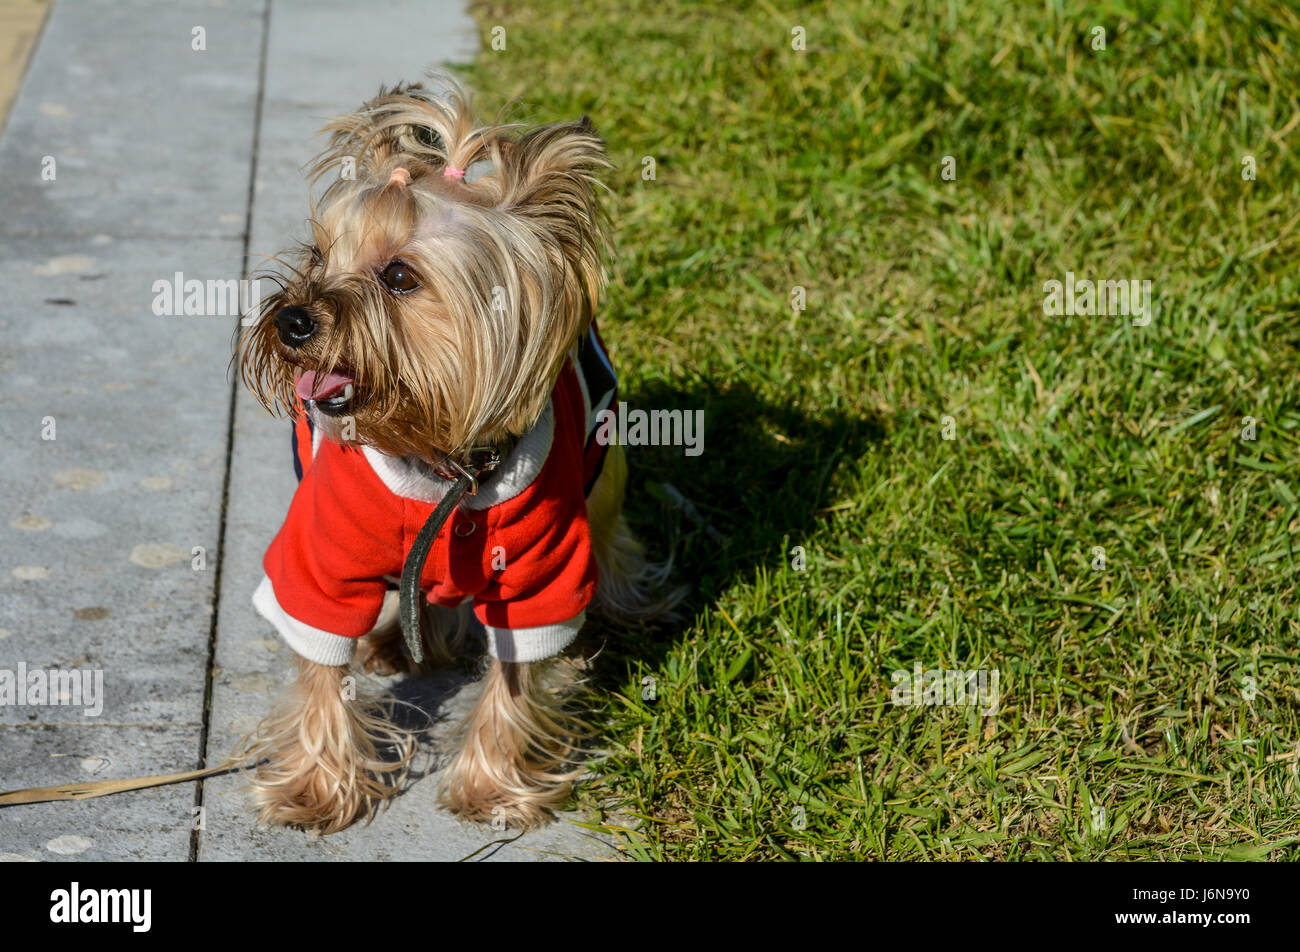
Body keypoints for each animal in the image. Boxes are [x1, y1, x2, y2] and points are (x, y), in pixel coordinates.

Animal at [237, 76, 676, 832]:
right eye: (319, 255)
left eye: (400, 277)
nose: (292, 320)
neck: (436, 457)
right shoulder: (321, 556)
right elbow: (320, 665)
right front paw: (314, 789)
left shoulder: (540, 571)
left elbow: (516, 673)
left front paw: (492, 788)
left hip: (606, 478)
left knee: (614, 545)